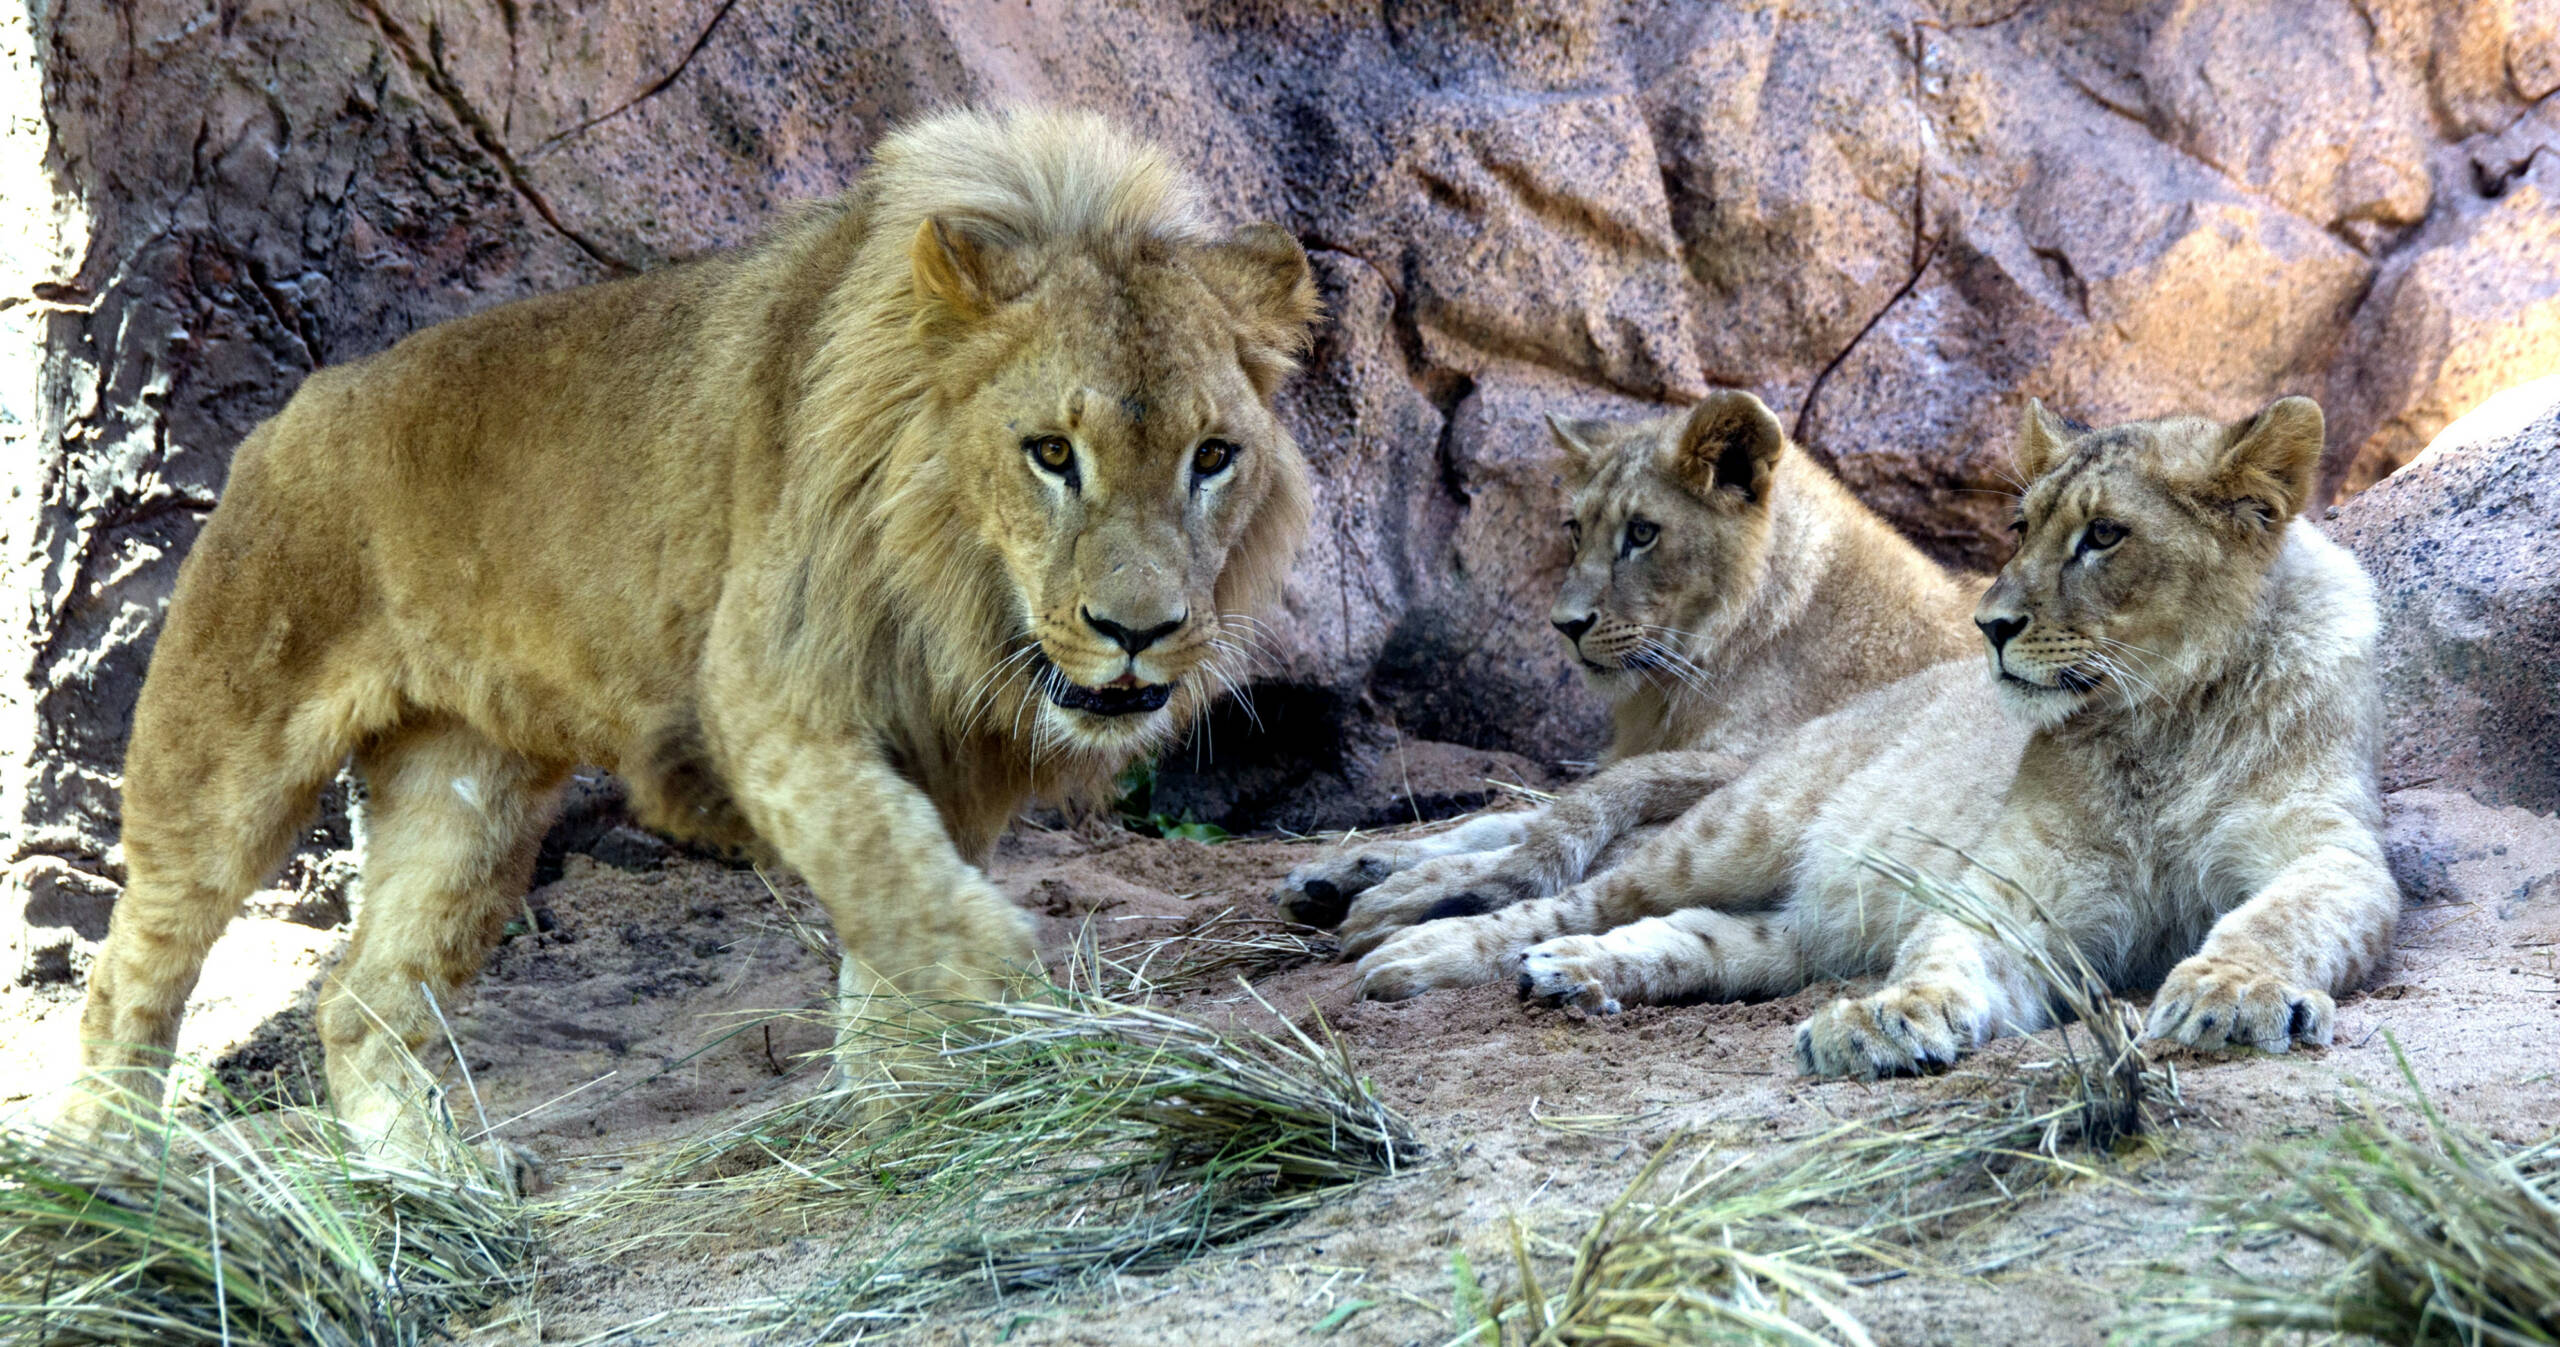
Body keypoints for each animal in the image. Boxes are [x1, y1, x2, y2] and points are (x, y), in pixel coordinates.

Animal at [64, 110, 1320, 1157]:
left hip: (466, 793)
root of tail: (287, 414)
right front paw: (1021, 1016)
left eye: (1213, 456)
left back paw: (432, 1185)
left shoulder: (948, 756)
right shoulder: (769, 704)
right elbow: (906, 890)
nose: (1136, 632)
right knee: (133, 969)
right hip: (223, 758)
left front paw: (909, 1094)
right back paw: (105, 1175)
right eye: (1051, 453)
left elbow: (895, 917)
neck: (954, 591)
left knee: (361, 1001)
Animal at [1274, 391, 1976, 962]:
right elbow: (1518, 820)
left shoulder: (1768, 760)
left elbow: (1575, 829)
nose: (1563, 625)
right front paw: (1342, 870)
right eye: (1574, 529)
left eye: (1642, 533)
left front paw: (1403, 896)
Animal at [1361, 396, 2396, 1080]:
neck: (2159, 718)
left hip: (1796, 923)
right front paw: (1894, 1017)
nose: (1992, 625)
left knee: (1702, 934)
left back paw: (1578, 974)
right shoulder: (2008, 884)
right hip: (1743, 824)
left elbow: (2279, 915)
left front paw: (2231, 993)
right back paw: (1416, 946)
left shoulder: (2334, 853)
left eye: (2105, 535)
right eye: (2019, 525)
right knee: (1583, 890)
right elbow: (1945, 950)